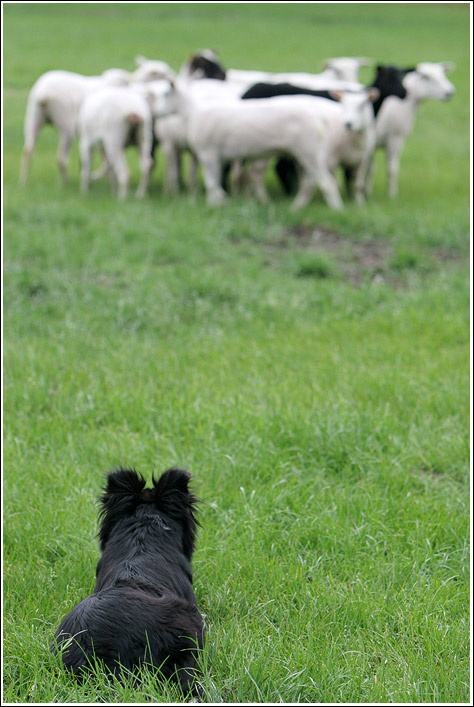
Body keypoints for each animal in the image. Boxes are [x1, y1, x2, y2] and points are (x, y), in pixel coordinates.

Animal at [154, 82, 379, 210]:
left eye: (166, 95)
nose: (155, 113)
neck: (192, 112)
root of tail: (320, 120)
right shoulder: (214, 156)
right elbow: (214, 181)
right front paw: (216, 203)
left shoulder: (208, 153)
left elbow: (211, 182)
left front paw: (218, 202)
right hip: (305, 157)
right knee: (309, 183)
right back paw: (296, 208)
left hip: (311, 154)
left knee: (327, 183)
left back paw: (336, 210)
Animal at [367, 61, 455, 197]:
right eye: (426, 77)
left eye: (442, 74)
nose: (449, 92)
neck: (405, 105)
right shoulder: (394, 138)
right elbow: (391, 168)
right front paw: (392, 194)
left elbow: (371, 169)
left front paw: (368, 192)